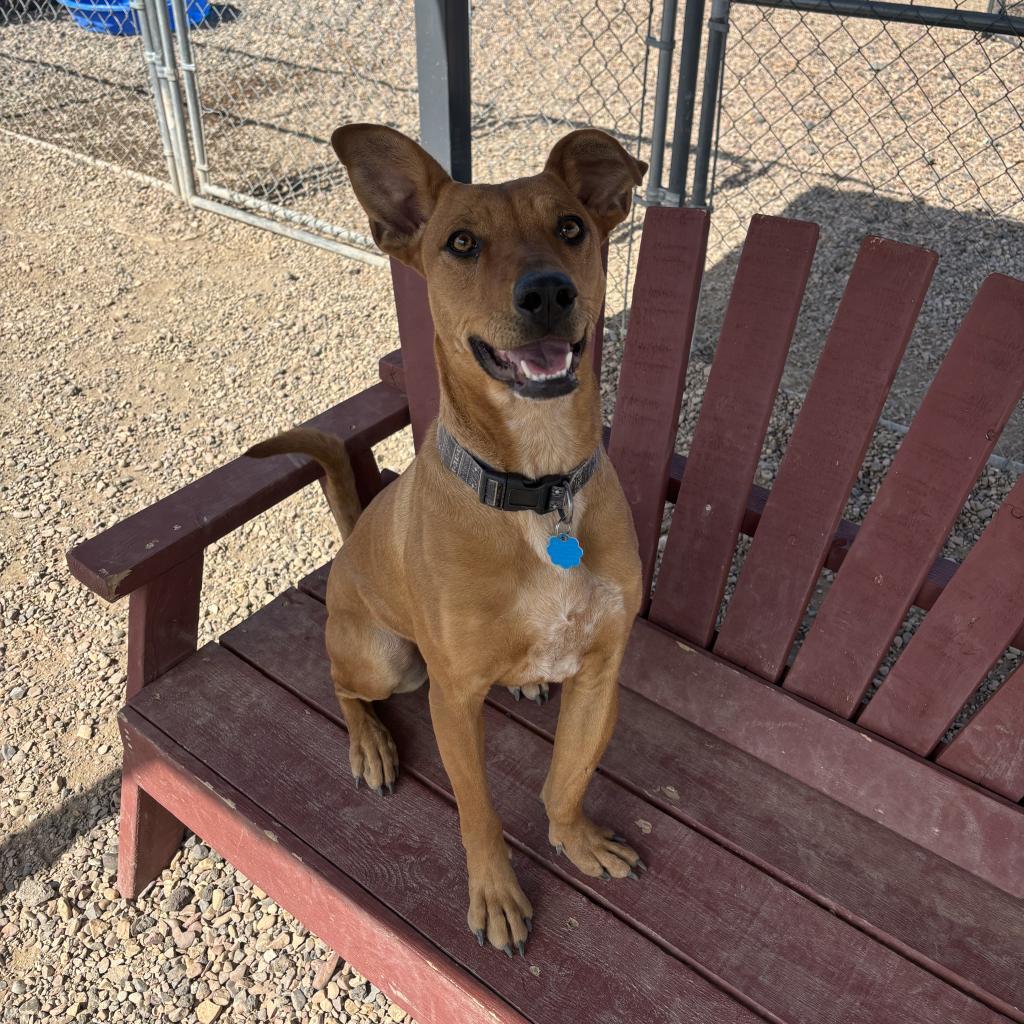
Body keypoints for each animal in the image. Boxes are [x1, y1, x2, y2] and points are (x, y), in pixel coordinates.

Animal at [248, 123, 647, 954]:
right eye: (461, 243)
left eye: (571, 227)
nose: (547, 292)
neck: (538, 487)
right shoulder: (453, 700)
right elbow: (479, 813)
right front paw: (495, 894)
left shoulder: (600, 673)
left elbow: (566, 779)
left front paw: (577, 840)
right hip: (386, 661)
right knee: (340, 684)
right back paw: (369, 744)